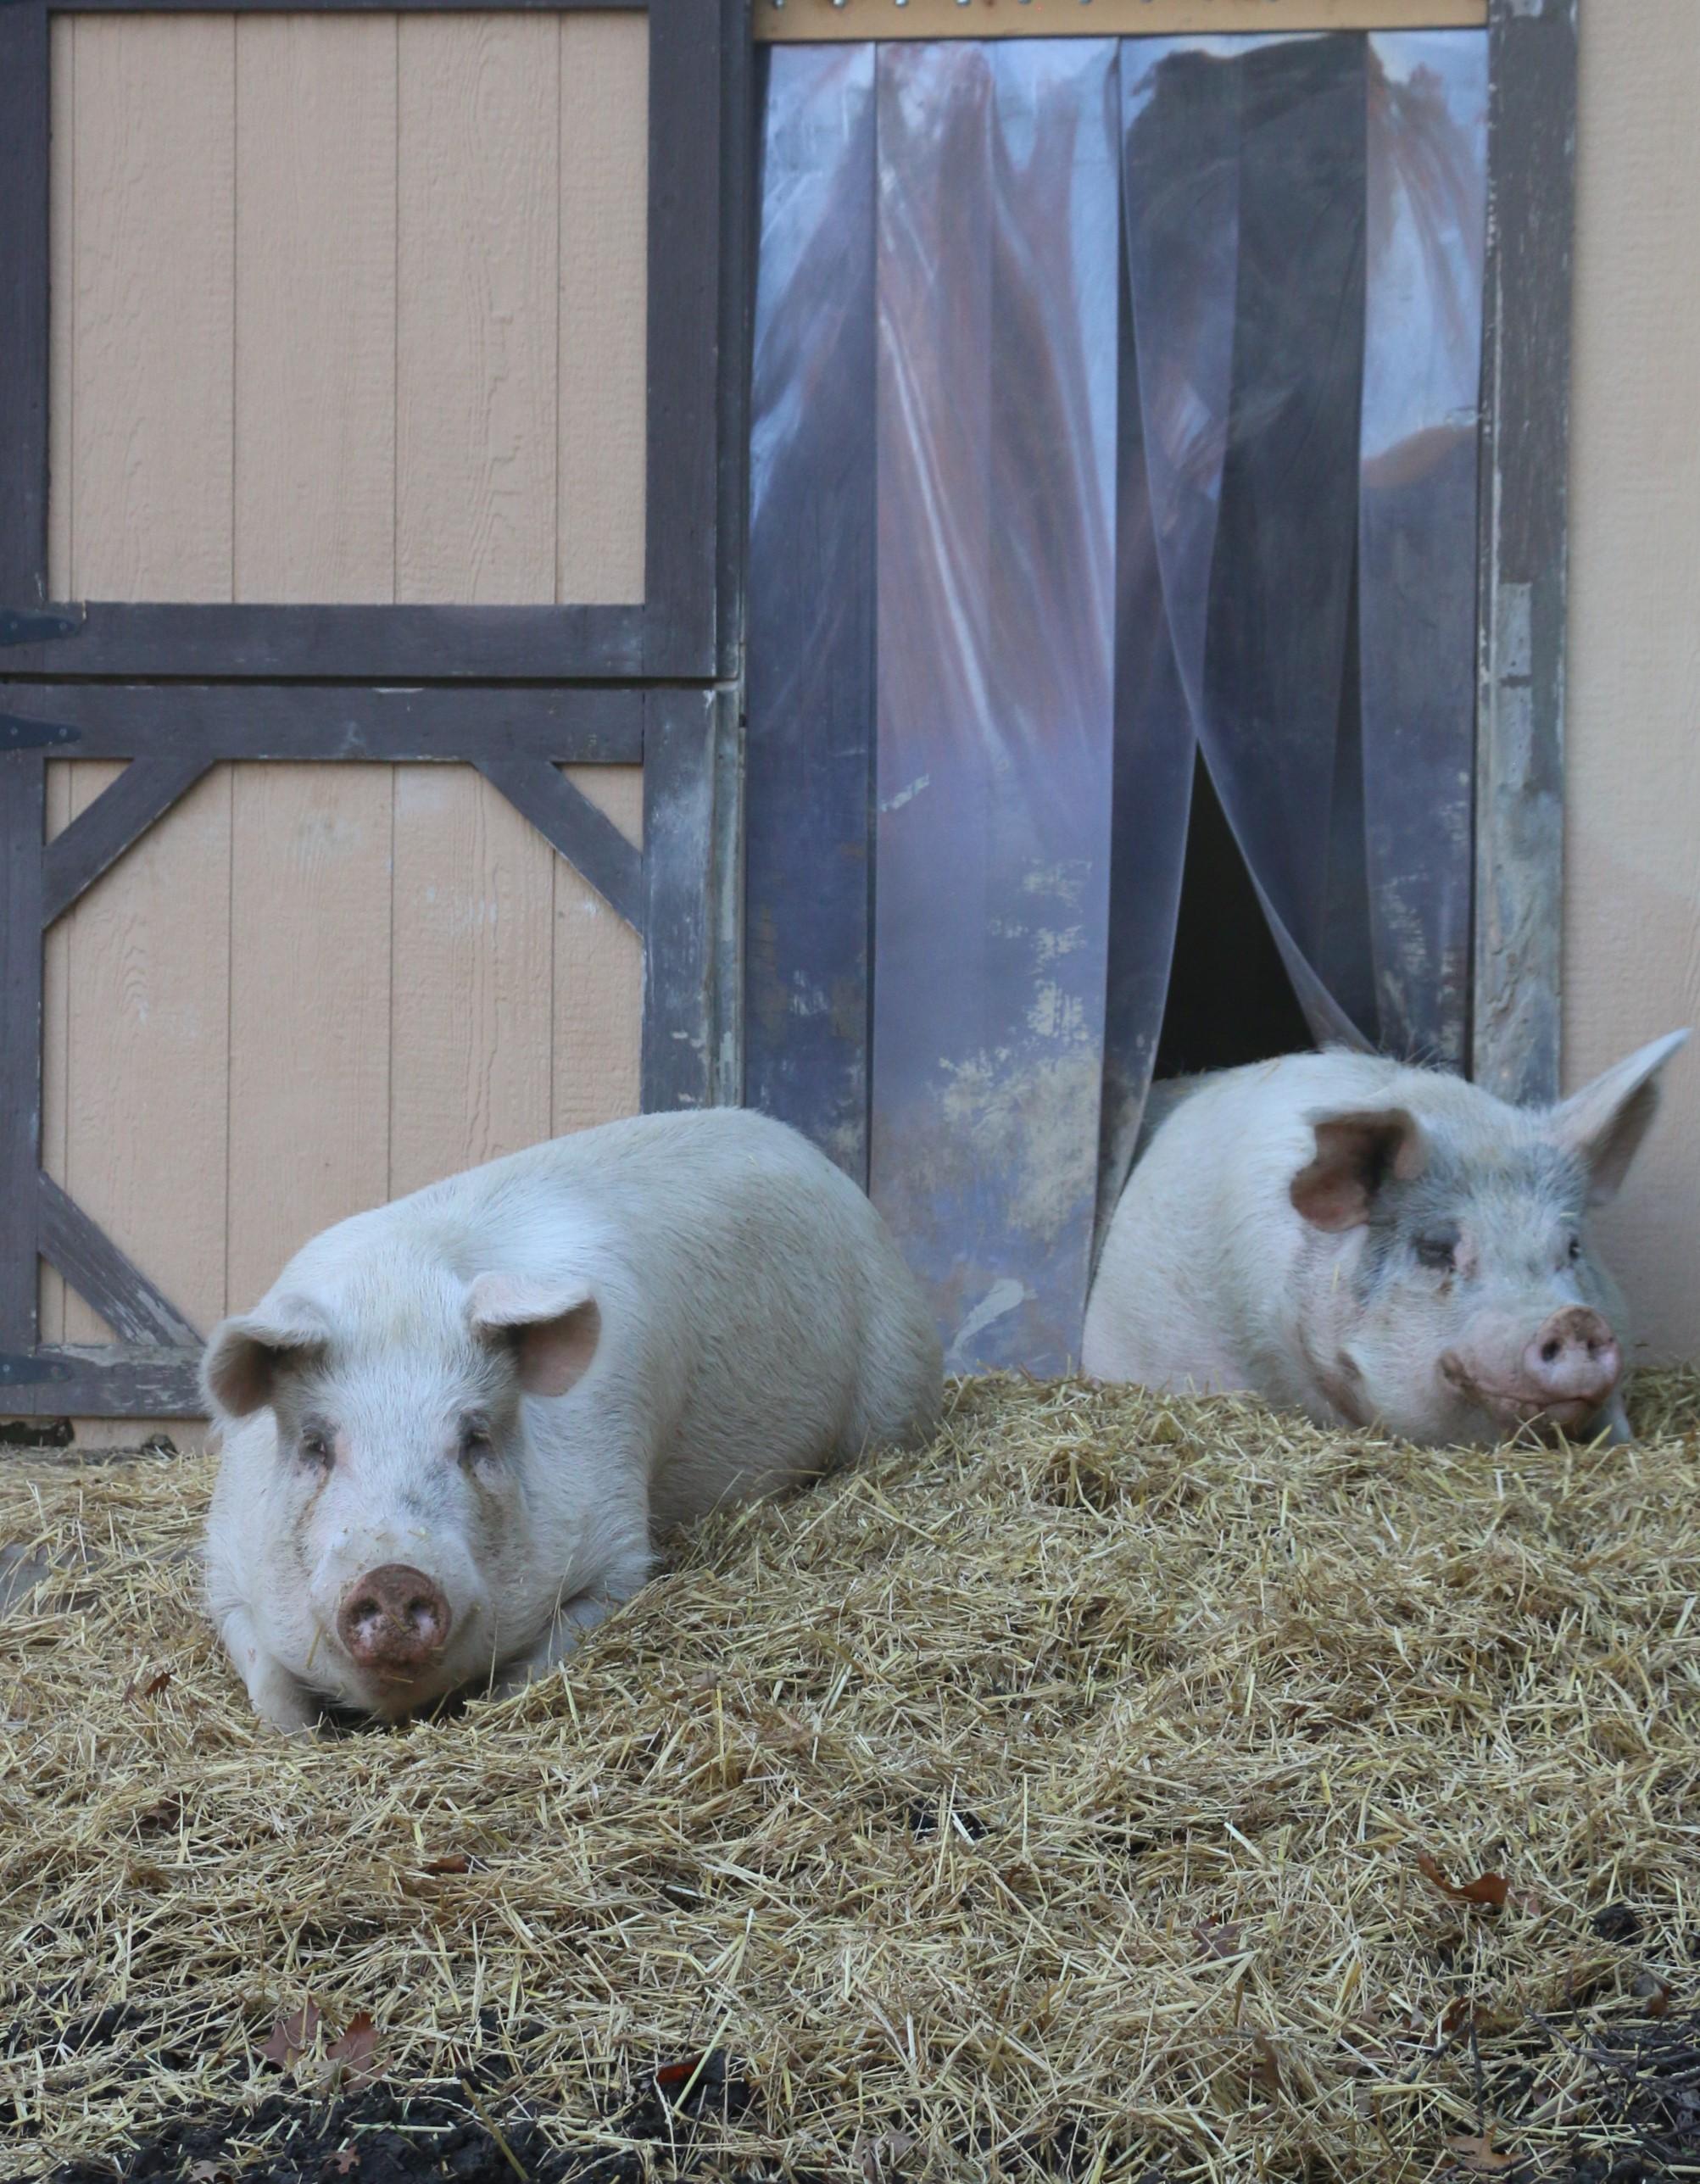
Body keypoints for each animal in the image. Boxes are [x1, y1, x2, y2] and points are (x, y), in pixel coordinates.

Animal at [202, 1108, 942, 1731]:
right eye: (315, 1446)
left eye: (475, 1439)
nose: (393, 1577)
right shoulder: (224, 1566)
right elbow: (268, 1683)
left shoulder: (617, 1543)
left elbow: (537, 1660)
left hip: (896, 1384)